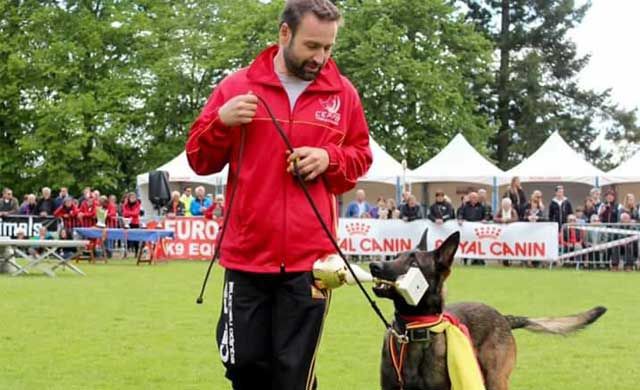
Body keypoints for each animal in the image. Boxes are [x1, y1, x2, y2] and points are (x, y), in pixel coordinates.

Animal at [370, 232, 604, 390]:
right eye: (396, 255)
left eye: (413, 262)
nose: (374, 265)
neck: (413, 329)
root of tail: (504, 318)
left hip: (495, 379)